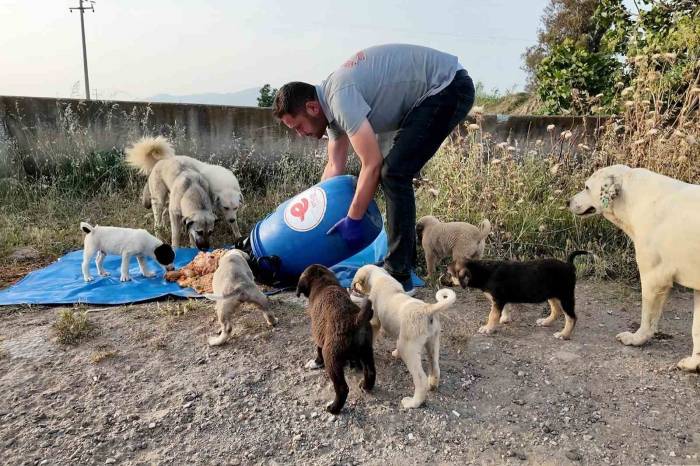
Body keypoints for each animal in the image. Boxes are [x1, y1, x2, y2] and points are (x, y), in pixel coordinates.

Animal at [296, 264, 378, 414]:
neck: (323, 281)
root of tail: (354, 319)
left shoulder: (318, 335)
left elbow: (318, 350)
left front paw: (316, 362)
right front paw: (353, 363)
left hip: (331, 358)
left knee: (342, 388)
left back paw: (334, 408)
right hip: (367, 350)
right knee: (370, 372)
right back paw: (365, 386)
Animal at [350, 266, 460, 408]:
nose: (352, 287)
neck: (379, 276)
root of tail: (428, 308)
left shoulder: (374, 322)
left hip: (408, 348)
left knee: (420, 380)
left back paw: (412, 403)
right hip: (433, 343)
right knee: (435, 367)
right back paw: (432, 385)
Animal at [568, 164, 700, 372]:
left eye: (587, 187)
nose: (568, 202)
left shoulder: (654, 277)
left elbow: (648, 316)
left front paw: (636, 339)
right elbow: (696, 328)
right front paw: (694, 363)